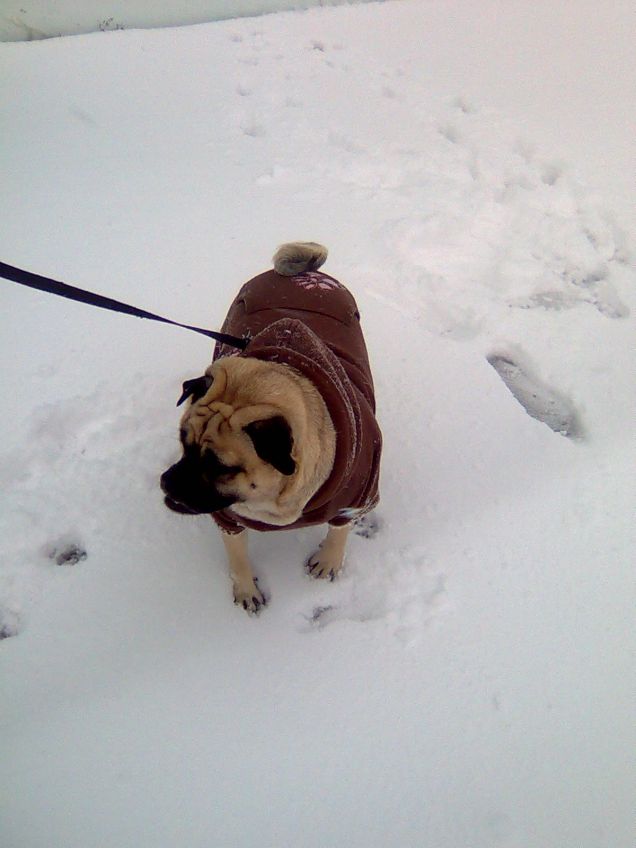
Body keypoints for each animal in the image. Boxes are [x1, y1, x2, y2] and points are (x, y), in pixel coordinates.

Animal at [164, 242, 382, 612]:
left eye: (219, 466)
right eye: (183, 443)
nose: (167, 482)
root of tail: (305, 273)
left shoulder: (359, 494)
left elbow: (340, 528)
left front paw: (329, 559)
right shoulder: (228, 519)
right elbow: (237, 555)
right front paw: (245, 588)